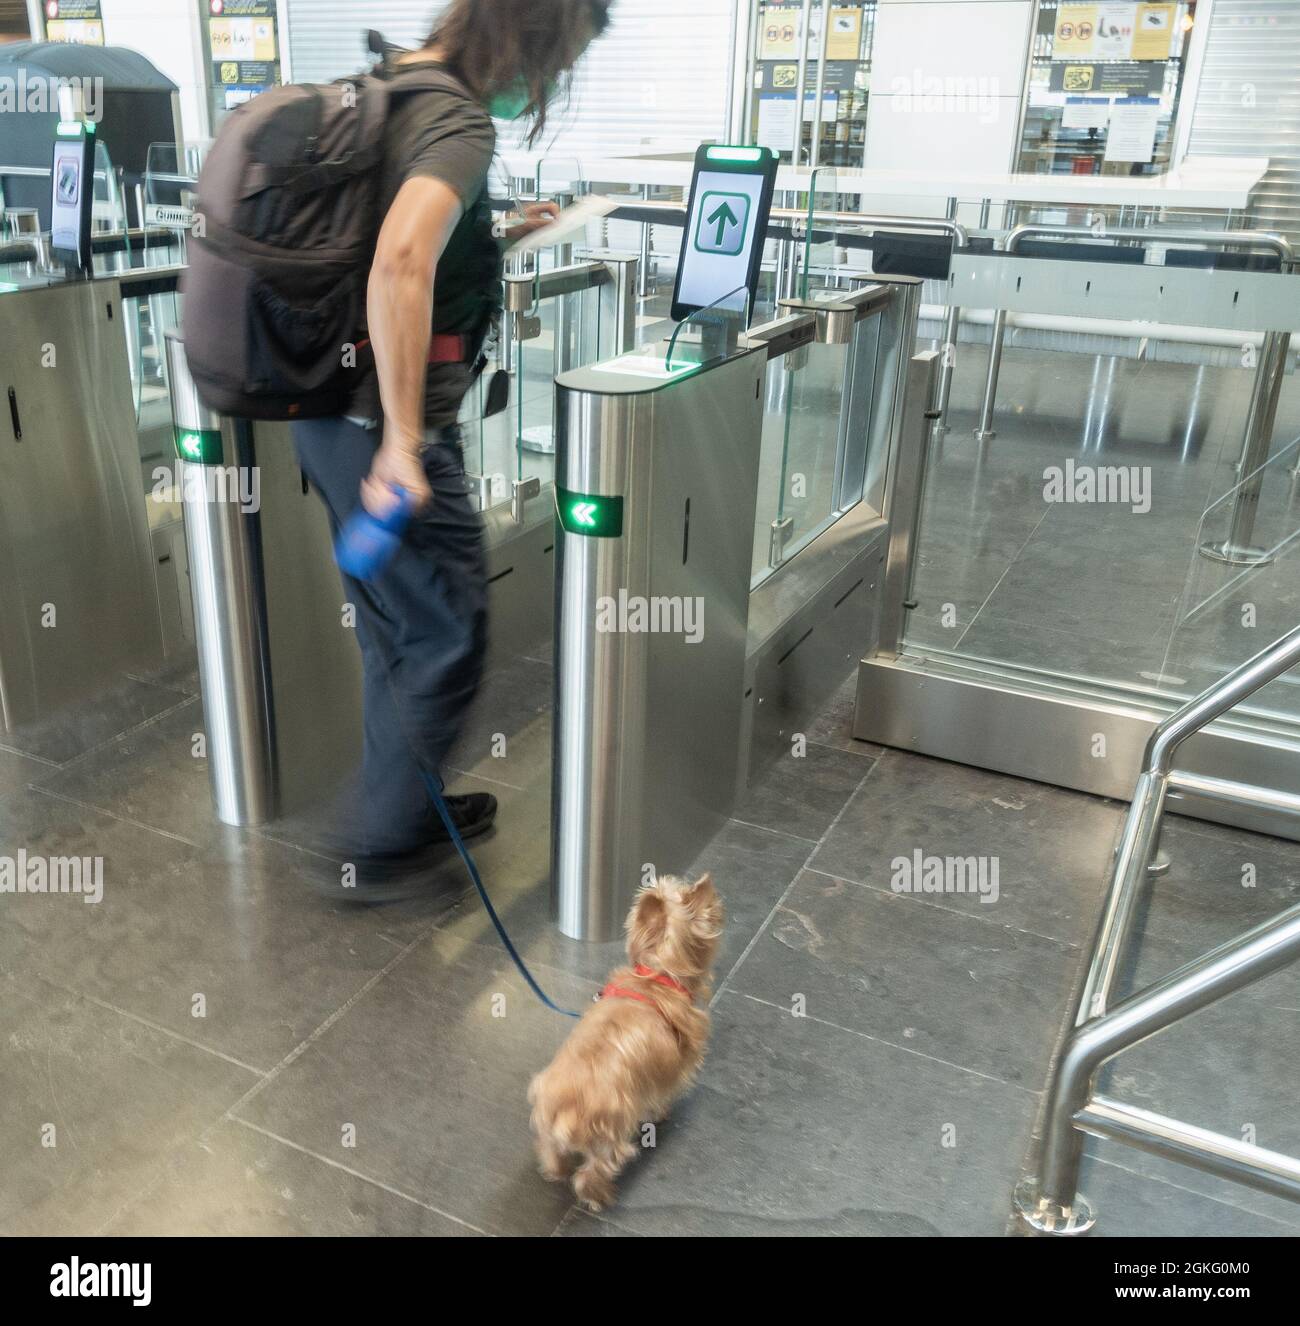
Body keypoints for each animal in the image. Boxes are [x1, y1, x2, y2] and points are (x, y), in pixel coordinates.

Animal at [533, 875, 726, 1209]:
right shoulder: (670, 1072)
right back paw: (601, 1196)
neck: (657, 974)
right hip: (612, 1136)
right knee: (591, 1173)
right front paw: (661, 1113)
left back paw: (556, 1171)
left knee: (553, 1155)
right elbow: (662, 1095)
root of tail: (567, 1109)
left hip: (550, 1132)